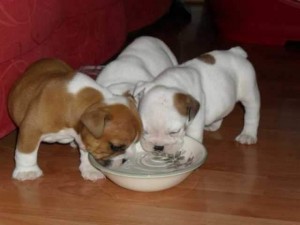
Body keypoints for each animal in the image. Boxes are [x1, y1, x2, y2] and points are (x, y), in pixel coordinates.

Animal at [8, 58, 142, 181]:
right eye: (115, 147)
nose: (125, 160)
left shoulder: (85, 138)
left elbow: (86, 153)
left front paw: (90, 169)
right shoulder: (31, 128)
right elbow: (26, 152)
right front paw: (27, 172)